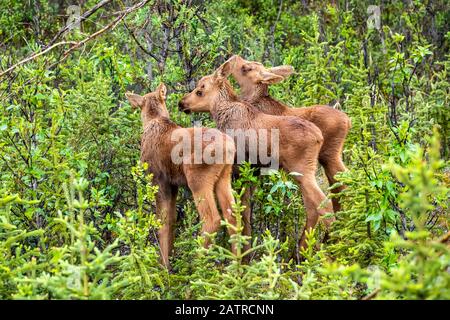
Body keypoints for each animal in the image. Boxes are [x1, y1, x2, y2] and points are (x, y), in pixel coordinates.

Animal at [125, 83, 236, 268]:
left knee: (212, 218)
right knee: (233, 215)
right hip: (224, 177)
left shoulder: (158, 180)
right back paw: (239, 263)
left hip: (197, 179)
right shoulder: (173, 184)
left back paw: (198, 265)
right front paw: (169, 260)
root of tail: (229, 147)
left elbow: (162, 222)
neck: (152, 120)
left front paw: (163, 266)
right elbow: (171, 220)